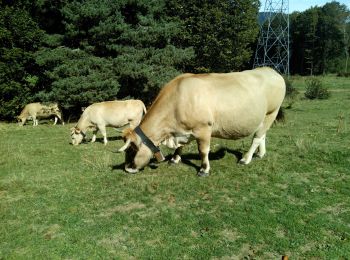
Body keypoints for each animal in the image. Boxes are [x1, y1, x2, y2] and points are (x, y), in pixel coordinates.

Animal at [119, 67, 286, 177]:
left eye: (132, 149)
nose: (127, 169)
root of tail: (270, 70)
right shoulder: (182, 130)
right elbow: (180, 146)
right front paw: (174, 159)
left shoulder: (203, 128)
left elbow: (203, 151)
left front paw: (204, 170)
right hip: (264, 116)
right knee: (263, 134)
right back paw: (261, 154)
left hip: (272, 111)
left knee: (257, 137)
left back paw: (246, 159)